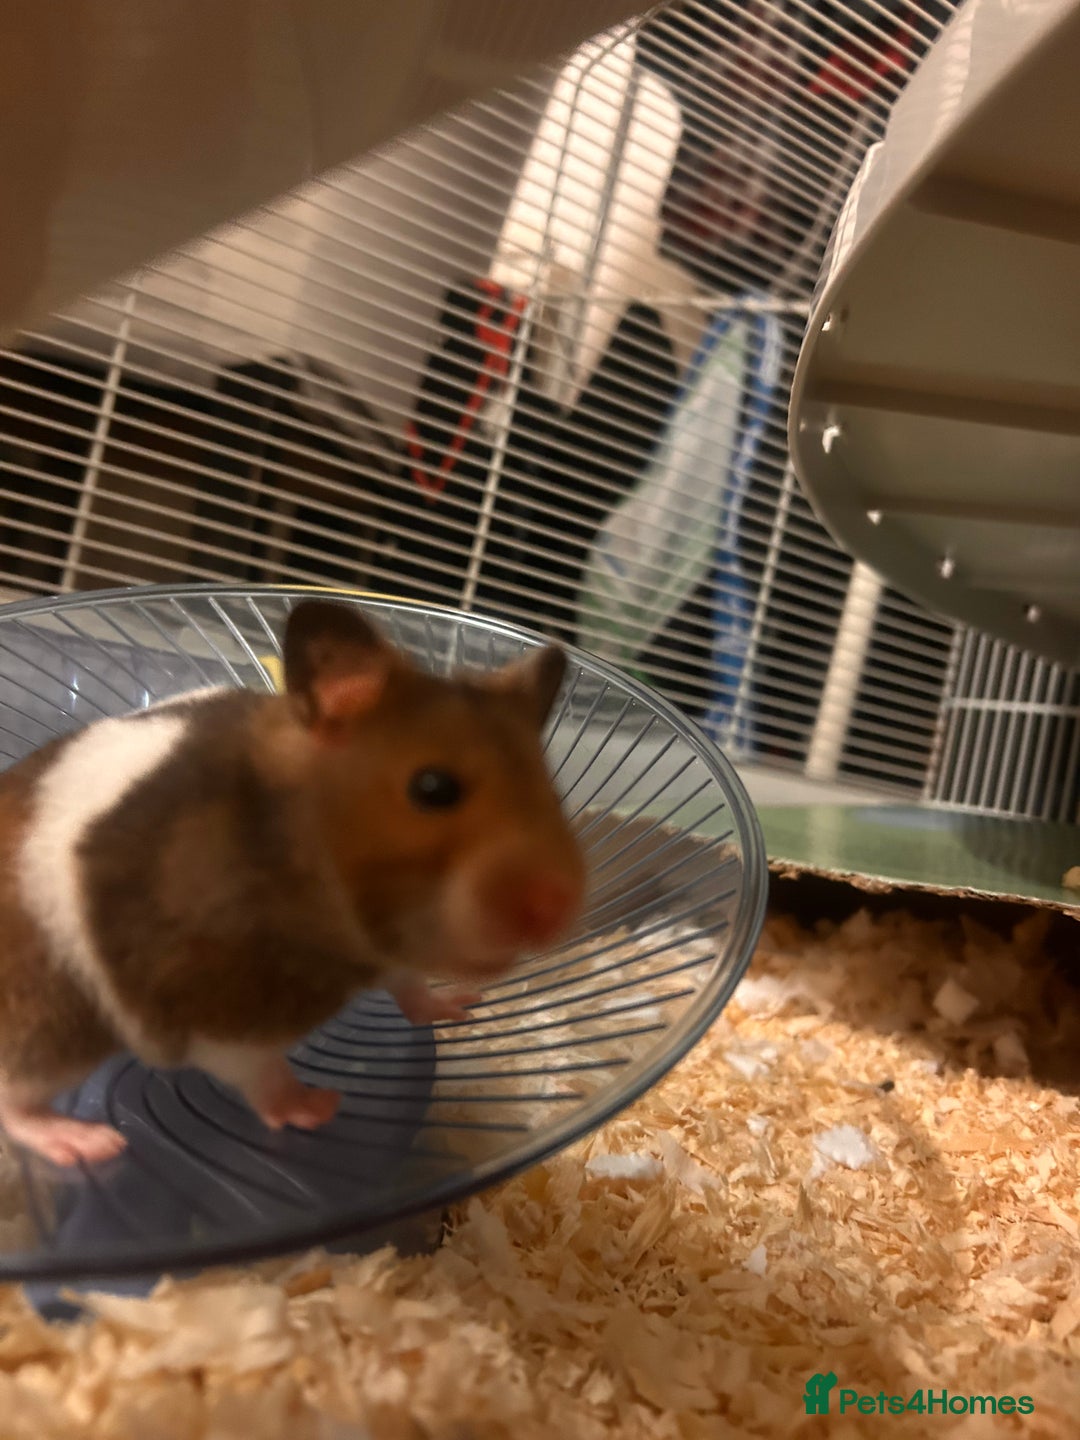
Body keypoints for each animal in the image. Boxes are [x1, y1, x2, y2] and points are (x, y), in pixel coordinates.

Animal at [0, 599, 586, 1166]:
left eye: (551, 791)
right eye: (433, 787)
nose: (557, 911)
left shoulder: (384, 955)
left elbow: (409, 984)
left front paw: (460, 1006)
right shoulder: (216, 1005)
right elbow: (260, 1069)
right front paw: (318, 1107)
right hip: (50, 1027)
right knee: (14, 1101)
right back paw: (89, 1144)